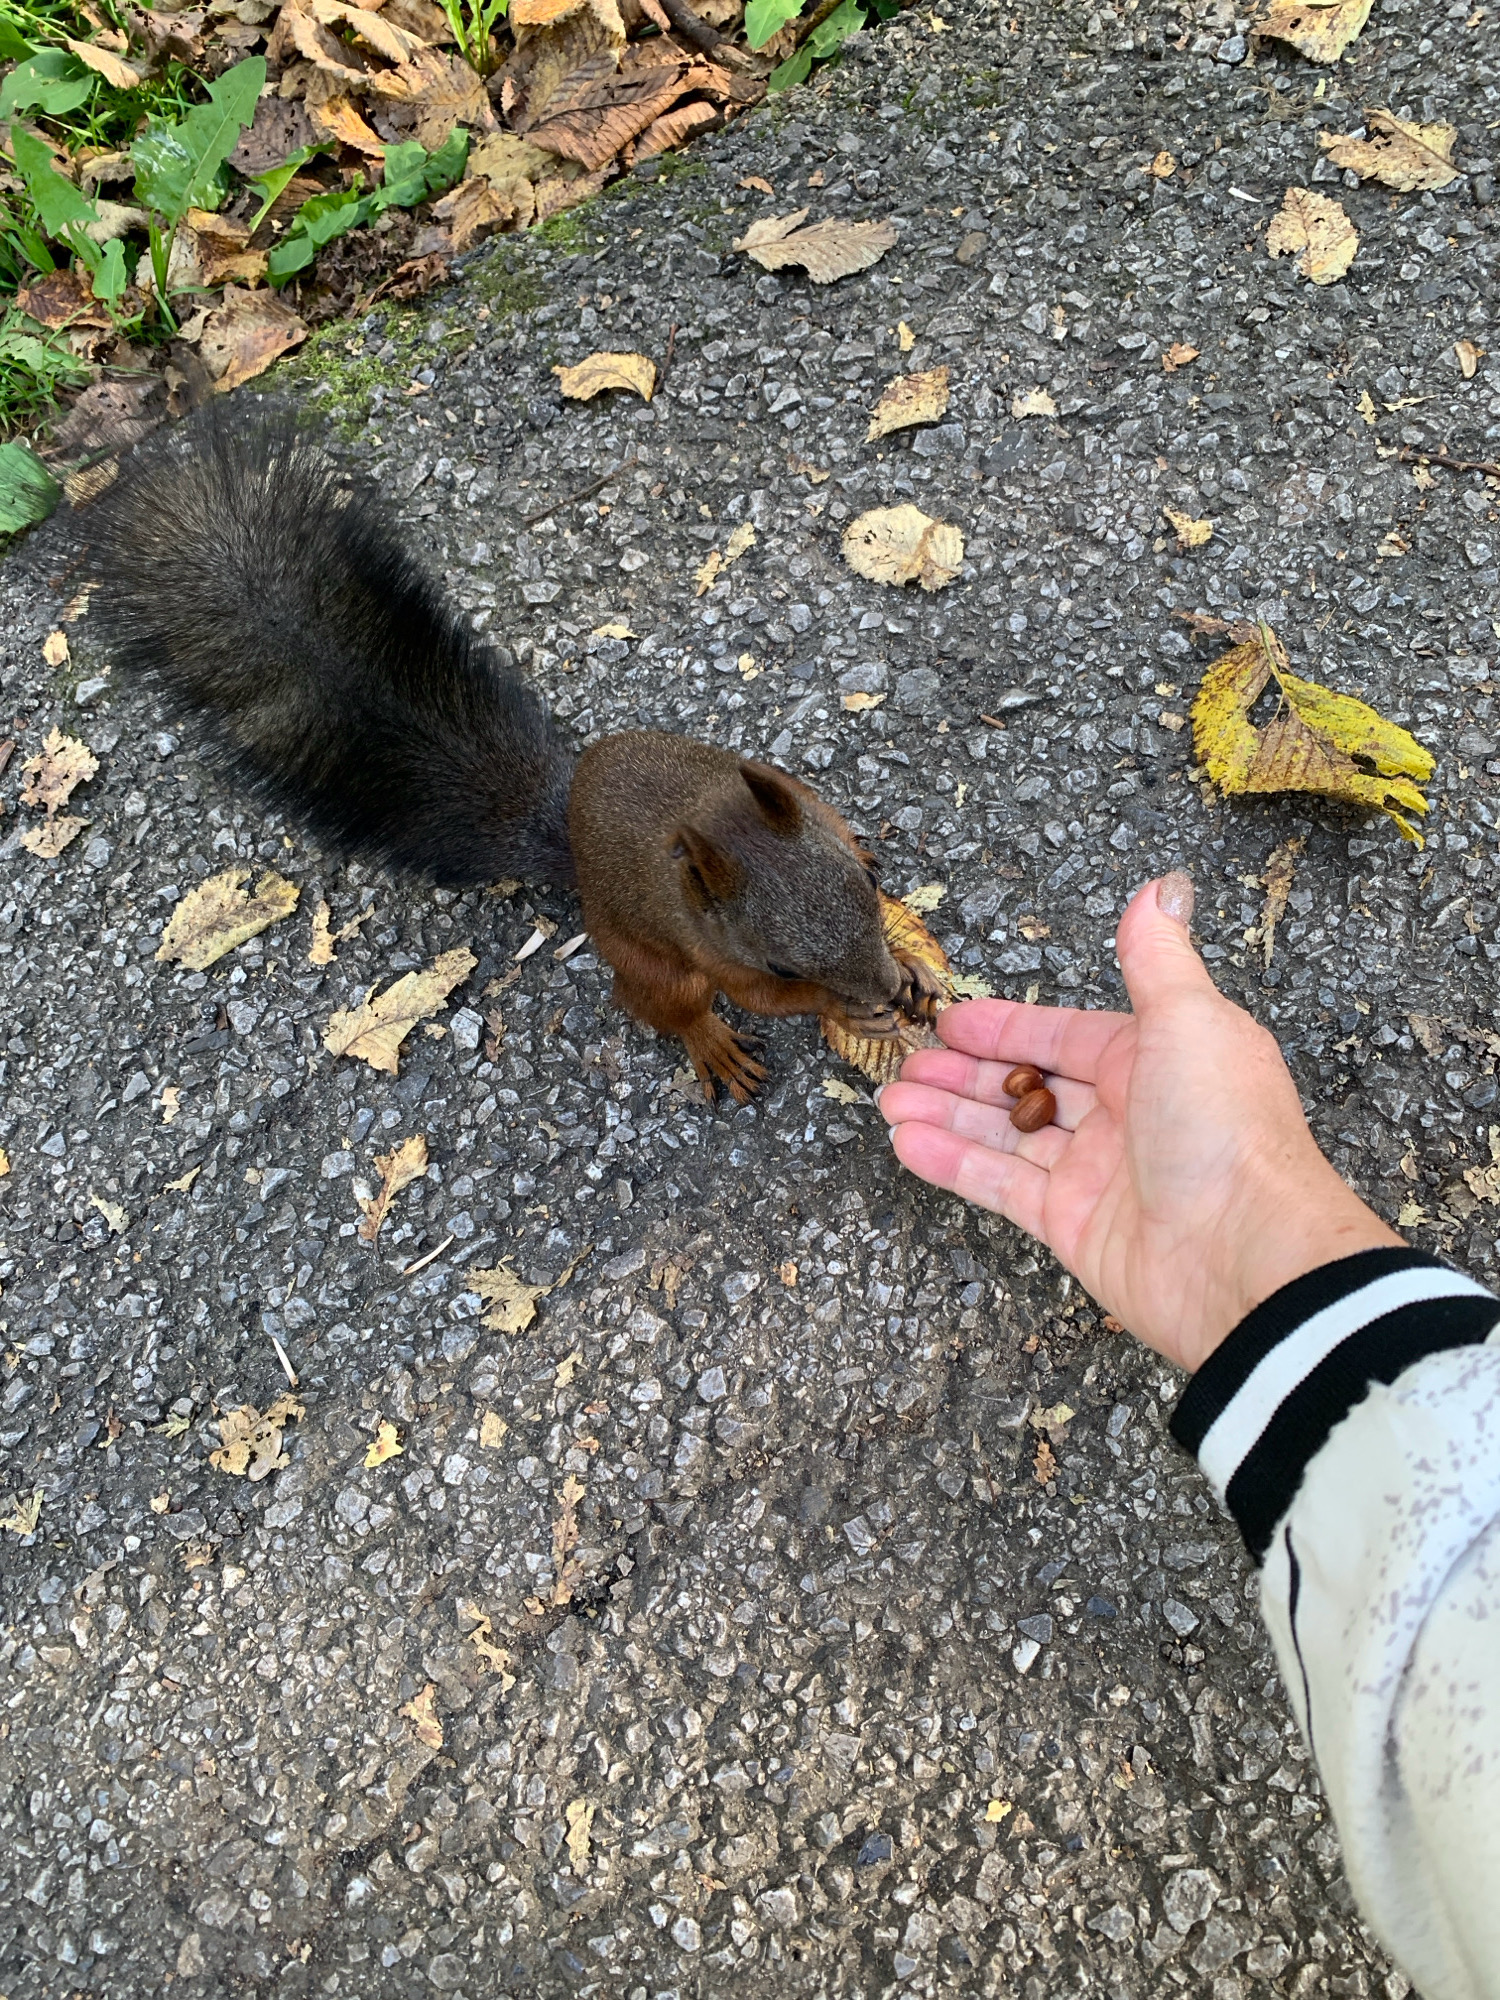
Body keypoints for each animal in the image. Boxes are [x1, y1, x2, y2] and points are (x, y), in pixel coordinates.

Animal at [87, 416, 942, 1102]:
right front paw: (843, 1005)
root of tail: (566, 830)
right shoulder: (712, 950)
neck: (714, 813)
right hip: (642, 953)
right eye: (783, 966)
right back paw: (709, 1044)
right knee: (661, 1006)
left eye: (866, 892)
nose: (881, 987)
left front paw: (914, 969)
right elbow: (753, 997)